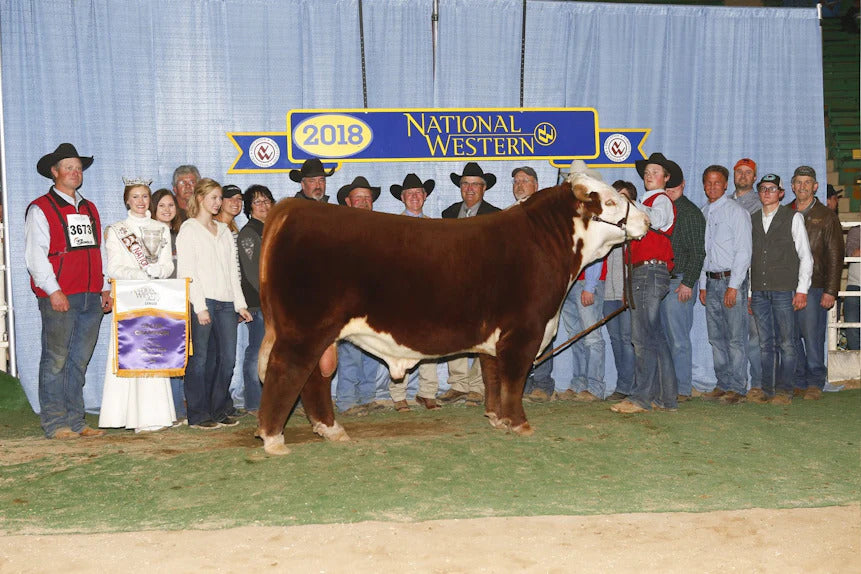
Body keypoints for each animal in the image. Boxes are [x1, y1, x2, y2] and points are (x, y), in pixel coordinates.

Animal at [255, 163, 650, 454]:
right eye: (610, 202)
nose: (646, 221)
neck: (545, 243)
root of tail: (294, 209)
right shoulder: (524, 329)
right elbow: (514, 379)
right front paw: (520, 423)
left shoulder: (496, 336)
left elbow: (493, 377)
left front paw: (497, 419)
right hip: (303, 329)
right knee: (286, 370)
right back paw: (273, 438)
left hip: (318, 332)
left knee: (314, 377)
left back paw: (331, 429)